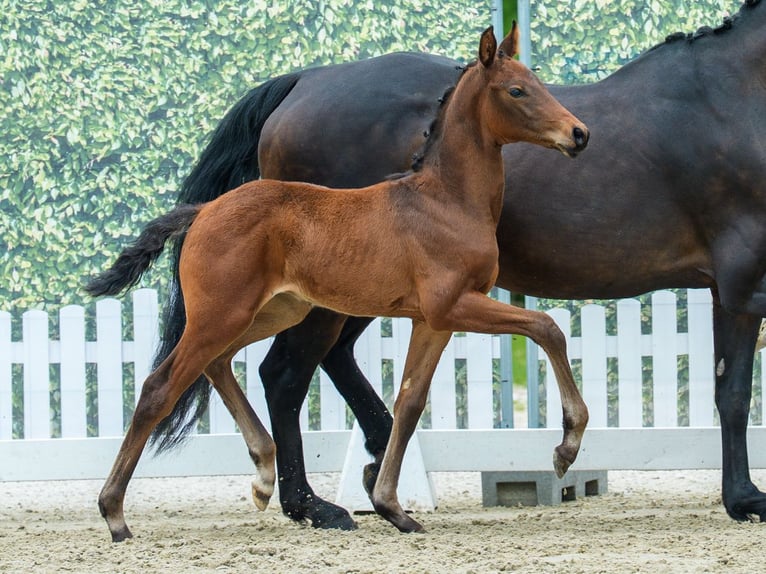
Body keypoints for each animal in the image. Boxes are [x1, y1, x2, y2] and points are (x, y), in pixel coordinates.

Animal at [86, 26, 590, 540]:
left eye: (537, 80)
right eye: (516, 90)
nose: (579, 134)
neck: (445, 200)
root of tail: (204, 210)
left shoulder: (434, 320)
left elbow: (409, 402)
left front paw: (393, 508)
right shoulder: (453, 305)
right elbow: (547, 327)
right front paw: (565, 449)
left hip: (272, 311)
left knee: (218, 363)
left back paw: (264, 475)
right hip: (223, 314)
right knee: (160, 387)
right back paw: (115, 513)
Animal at [149, 0, 766, 529]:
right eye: (517, 89)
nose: (578, 135)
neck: (733, 97)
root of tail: (303, 81)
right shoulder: (741, 283)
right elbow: (734, 393)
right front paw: (743, 499)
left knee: (331, 364)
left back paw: (372, 468)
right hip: (321, 299)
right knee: (284, 374)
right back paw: (313, 504)